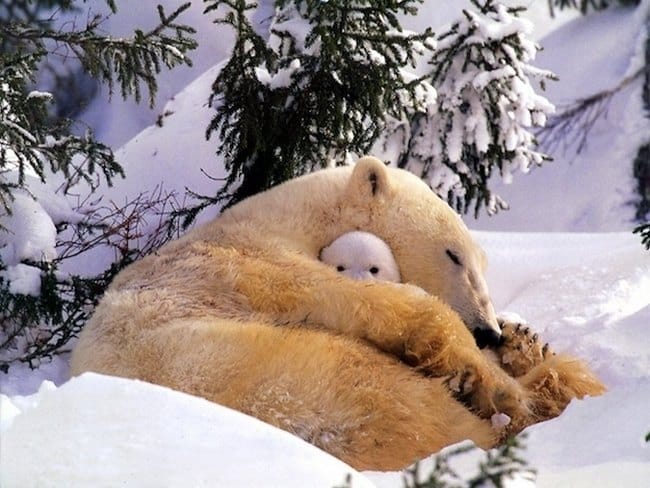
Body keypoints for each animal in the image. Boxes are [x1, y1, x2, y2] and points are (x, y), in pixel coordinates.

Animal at [71, 155, 604, 468]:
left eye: (483, 262)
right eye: (454, 254)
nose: (487, 330)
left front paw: (518, 339)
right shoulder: (251, 265)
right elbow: (388, 306)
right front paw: (495, 382)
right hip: (297, 376)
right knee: (402, 400)